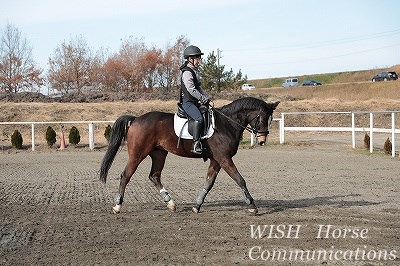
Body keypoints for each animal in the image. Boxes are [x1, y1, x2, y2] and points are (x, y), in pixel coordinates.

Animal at [99, 97, 280, 214]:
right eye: (262, 119)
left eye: (270, 120)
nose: (262, 141)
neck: (227, 124)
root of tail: (136, 119)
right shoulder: (224, 158)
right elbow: (240, 179)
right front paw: (252, 206)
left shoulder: (217, 160)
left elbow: (209, 183)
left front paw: (197, 206)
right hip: (137, 154)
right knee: (126, 175)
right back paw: (117, 206)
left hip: (159, 154)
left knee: (154, 176)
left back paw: (170, 203)